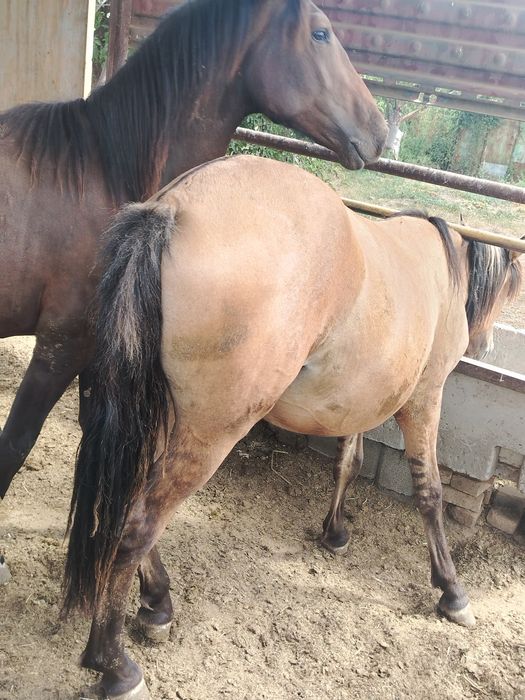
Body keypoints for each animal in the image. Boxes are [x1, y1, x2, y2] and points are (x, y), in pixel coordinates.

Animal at [0, 0, 387, 499]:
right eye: (320, 34)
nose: (379, 132)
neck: (106, 171)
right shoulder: (59, 347)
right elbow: (14, 447)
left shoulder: (96, 352)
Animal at [63, 155, 522, 700]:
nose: (487, 345)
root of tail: (173, 209)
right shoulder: (425, 397)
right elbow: (429, 492)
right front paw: (451, 591)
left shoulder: (357, 401)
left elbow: (350, 461)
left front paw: (335, 531)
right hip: (209, 433)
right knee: (138, 527)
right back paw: (114, 663)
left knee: (134, 505)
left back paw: (157, 603)